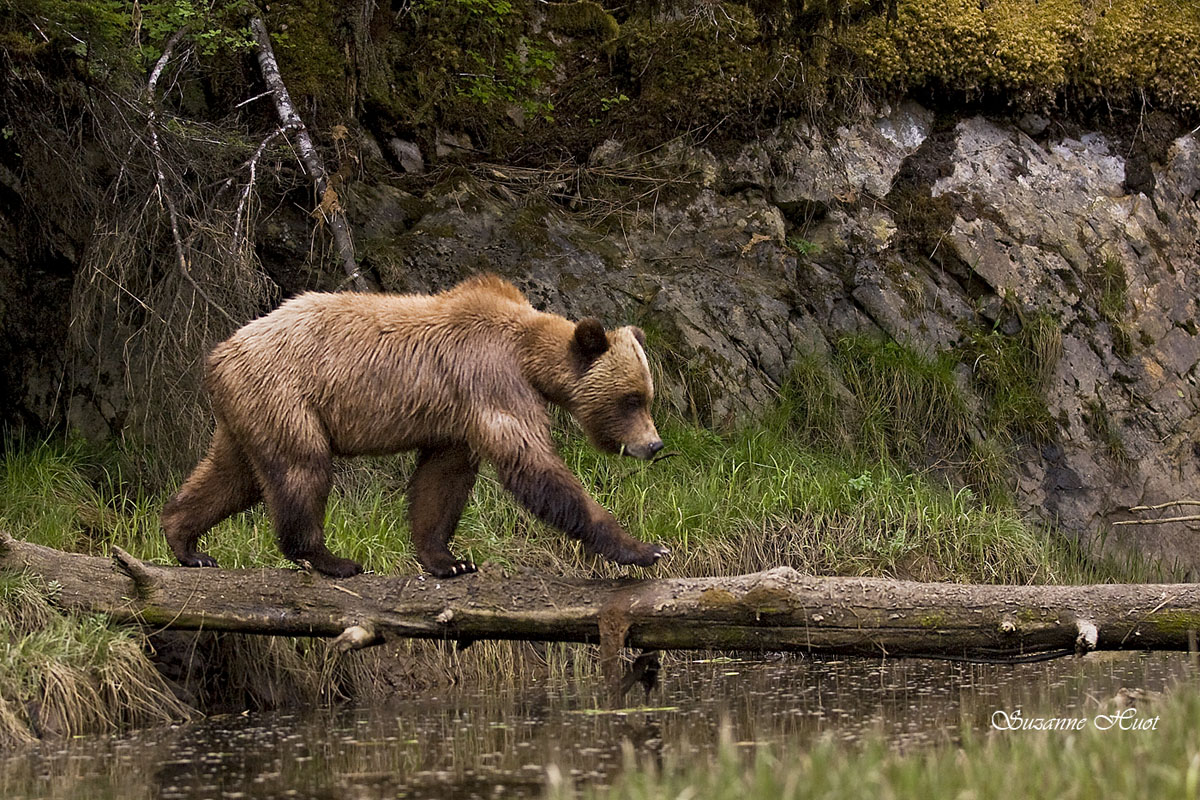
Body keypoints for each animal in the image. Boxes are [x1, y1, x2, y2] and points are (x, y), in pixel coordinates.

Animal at [161, 274, 671, 579]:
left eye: (647, 396)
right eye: (631, 399)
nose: (654, 445)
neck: (527, 353)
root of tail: (218, 354)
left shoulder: (458, 416)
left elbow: (440, 481)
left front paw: (448, 560)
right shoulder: (491, 380)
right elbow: (532, 465)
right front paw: (643, 548)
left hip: (246, 412)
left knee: (232, 477)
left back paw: (186, 541)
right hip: (286, 397)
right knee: (301, 470)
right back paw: (331, 559)